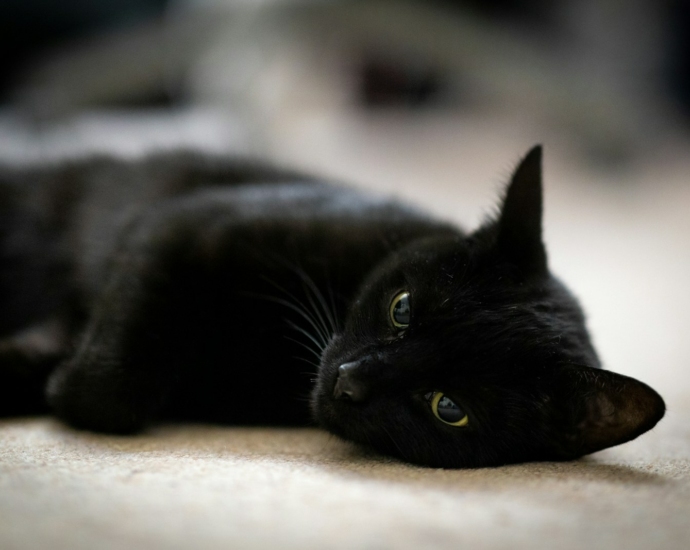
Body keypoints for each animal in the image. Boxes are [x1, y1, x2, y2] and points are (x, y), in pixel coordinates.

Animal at [0, 144, 660, 468]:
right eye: (401, 309)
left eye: (449, 407)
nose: (349, 381)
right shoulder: (186, 223)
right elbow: (113, 378)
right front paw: (65, 379)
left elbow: (105, 395)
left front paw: (49, 378)